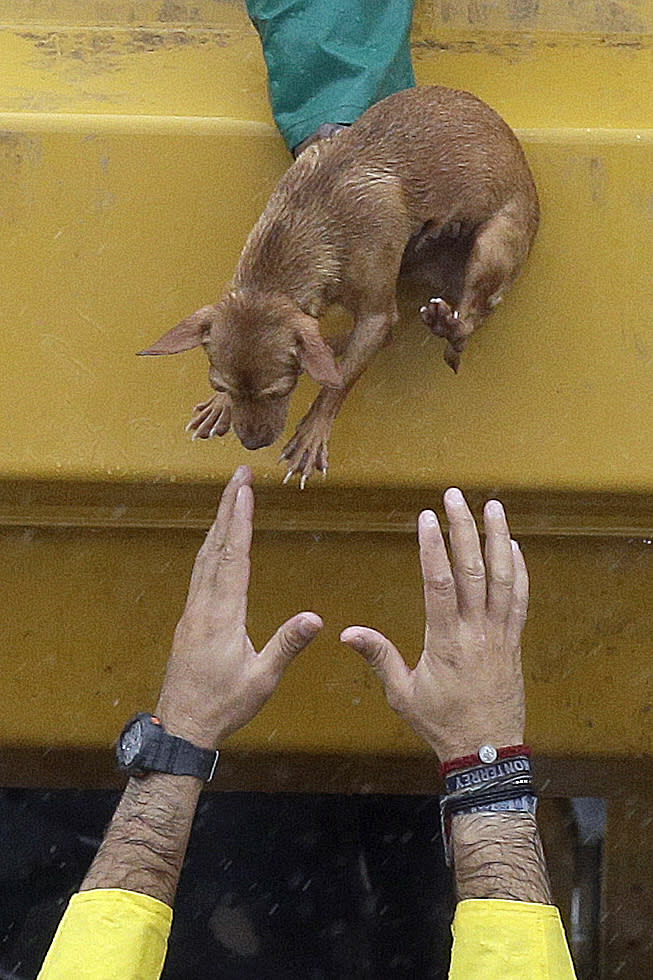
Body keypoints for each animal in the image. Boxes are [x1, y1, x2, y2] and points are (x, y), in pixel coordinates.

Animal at [140, 85, 536, 486]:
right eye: (221, 386)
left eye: (278, 392)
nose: (252, 444)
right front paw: (222, 406)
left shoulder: (376, 316)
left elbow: (338, 382)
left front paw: (313, 433)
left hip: (493, 245)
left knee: (469, 319)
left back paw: (446, 320)